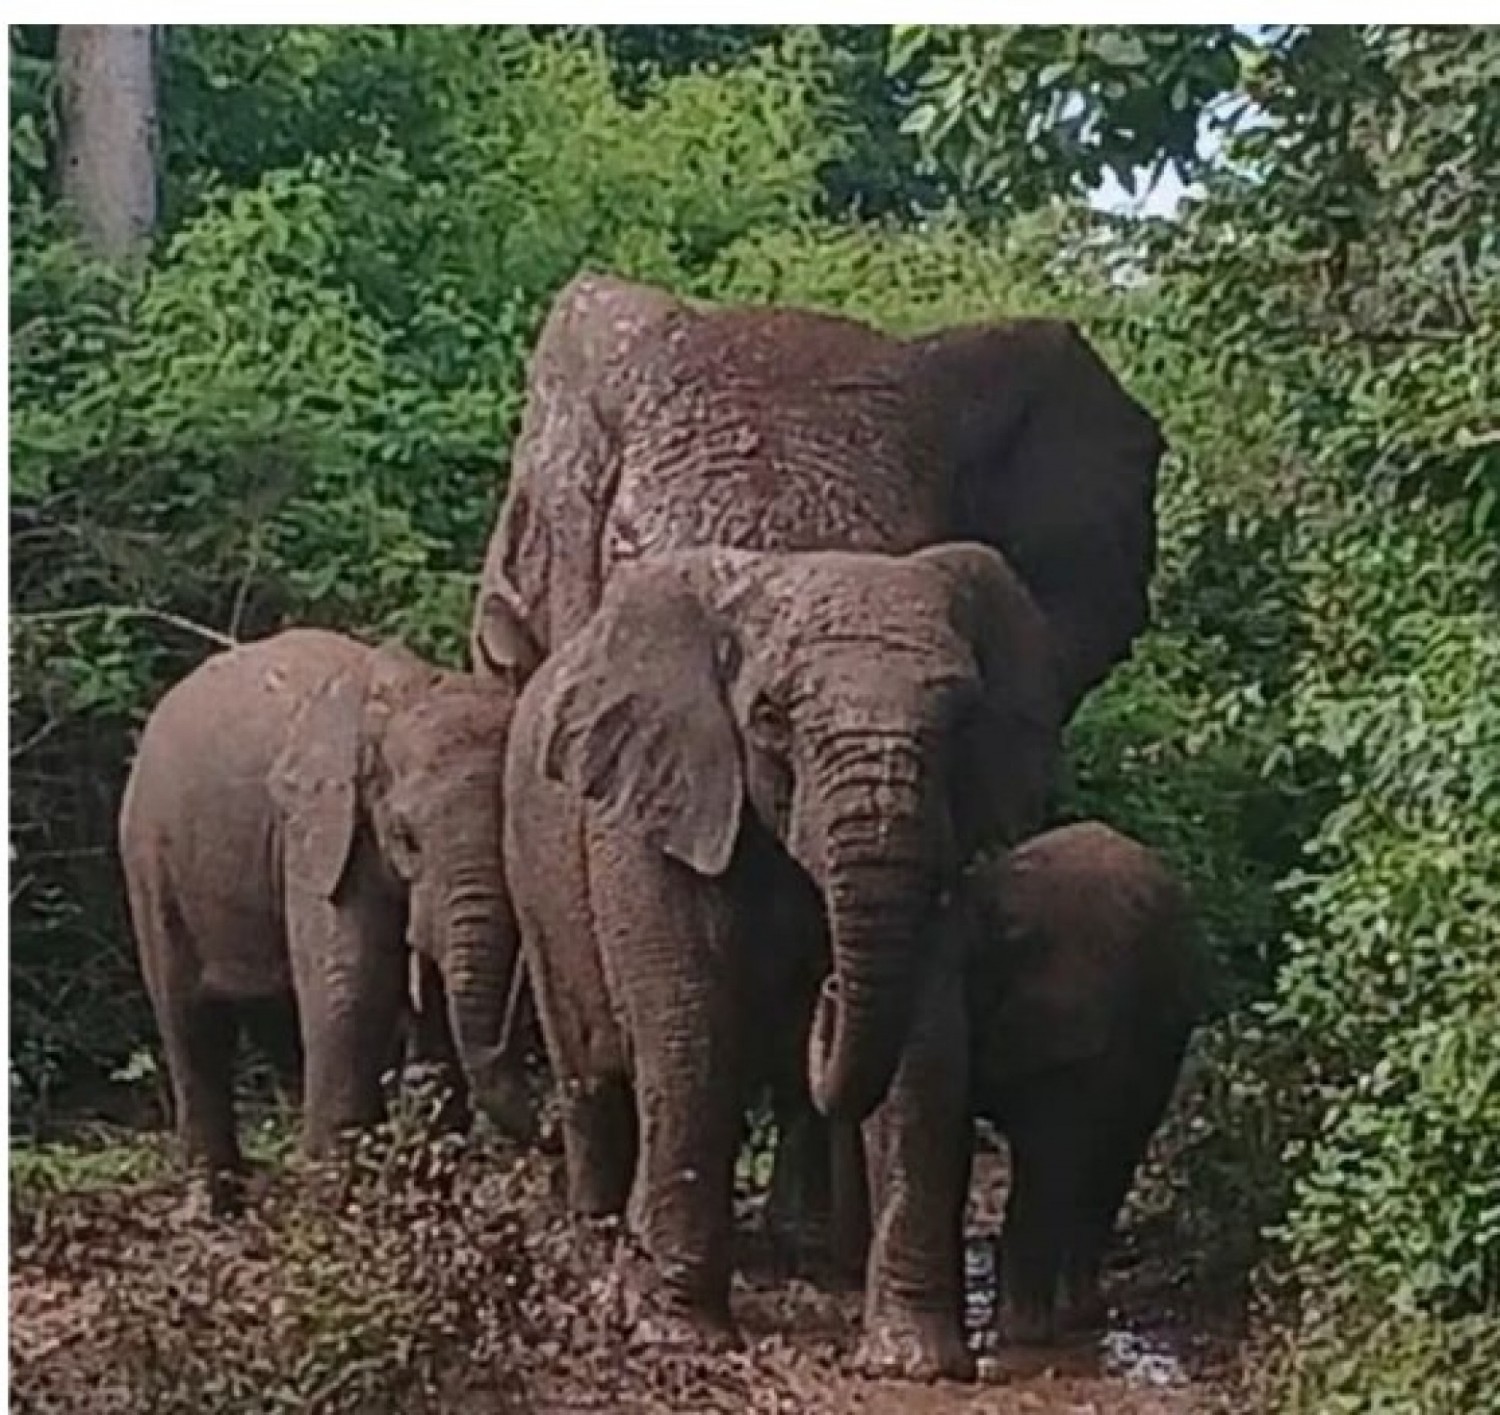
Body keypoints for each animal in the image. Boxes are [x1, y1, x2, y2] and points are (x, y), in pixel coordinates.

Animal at [119, 628, 532, 1209]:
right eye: (406, 837)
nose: (549, 1133)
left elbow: (434, 1011)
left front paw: (421, 1207)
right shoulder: (320, 829)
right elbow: (353, 990)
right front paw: (342, 1206)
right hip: (149, 854)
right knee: (190, 1021)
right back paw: (212, 1208)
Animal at [501, 540, 1064, 1373]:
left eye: (962, 719)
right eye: (768, 717)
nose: (825, 993)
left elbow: (925, 1052)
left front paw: (915, 1361)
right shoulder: (656, 810)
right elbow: (692, 1038)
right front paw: (677, 1334)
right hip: (528, 868)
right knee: (590, 1069)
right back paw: (597, 1237)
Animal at [835, 821, 1204, 1362]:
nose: (828, 991)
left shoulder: (1074, 1024)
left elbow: (1050, 1152)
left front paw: (1018, 1337)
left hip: (1164, 1038)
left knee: (1114, 1151)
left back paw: (1077, 1314)